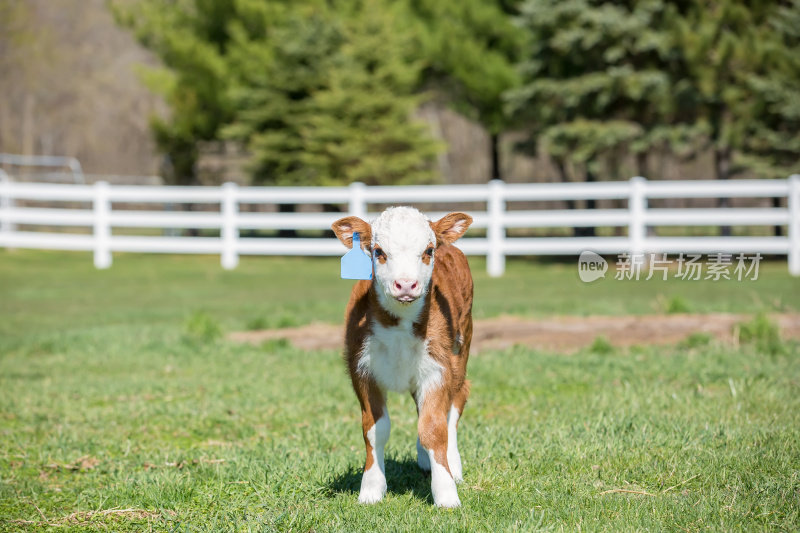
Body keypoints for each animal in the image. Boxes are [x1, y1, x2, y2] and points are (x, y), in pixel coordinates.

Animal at [332, 205, 476, 508]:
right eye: (378, 251)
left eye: (429, 250)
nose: (406, 284)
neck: (398, 323)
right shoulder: (362, 370)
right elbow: (375, 429)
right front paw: (371, 489)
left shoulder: (438, 369)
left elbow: (434, 428)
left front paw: (446, 494)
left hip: (462, 346)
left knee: (456, 399)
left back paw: (453, 466)